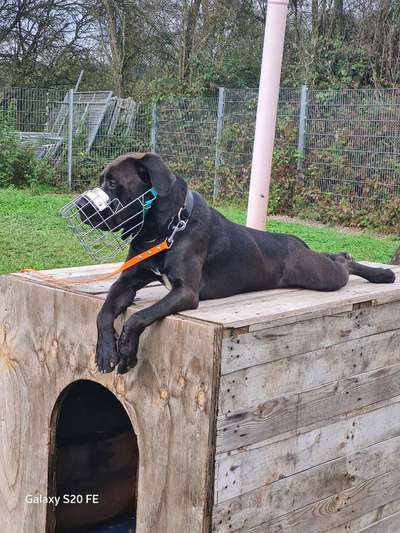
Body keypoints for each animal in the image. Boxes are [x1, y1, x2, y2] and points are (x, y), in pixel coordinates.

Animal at [90, 152, 394, 372]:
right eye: (103, 180)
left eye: (113, 183)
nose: (83, 208)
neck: (165, 228)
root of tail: (296, 242)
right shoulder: (127, 281)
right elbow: (103, 313)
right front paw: (106, 351)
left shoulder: (185, 292)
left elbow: (139, 316)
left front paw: (126, 350)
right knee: (338, 256)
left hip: (320, 275)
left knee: (345, 263)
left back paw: (384, 275)